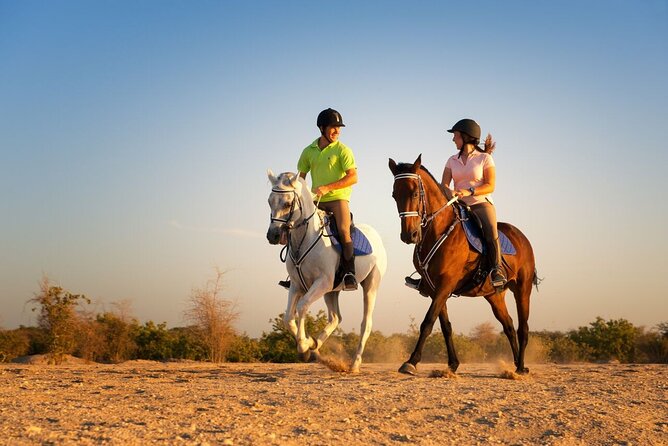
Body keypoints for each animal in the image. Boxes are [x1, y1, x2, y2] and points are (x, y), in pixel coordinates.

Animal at [266, 170, 387, 372]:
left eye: (288, 203)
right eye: (269, 201)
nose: (272, 236)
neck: (305, 238)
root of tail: (375, 235)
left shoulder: (322, 282)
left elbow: (302, 306)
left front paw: (303, 347)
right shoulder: (297, 285)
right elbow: (288, 316)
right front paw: (309, 343)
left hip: (370, 286)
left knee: (366, 324)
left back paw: (354, 364)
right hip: (332, 291)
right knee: (336, 318)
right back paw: (316, 346)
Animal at [388, 155, 538, 375]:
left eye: (415, 192)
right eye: (394, 195)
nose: (410, 235)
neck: (438, 230)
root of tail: (522, 237)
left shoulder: (446, 284)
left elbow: (428, 322)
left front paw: (411, 361)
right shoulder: (434, 288)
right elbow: (445, 326)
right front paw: (453, 364)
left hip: (522, 288)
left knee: (523, 327)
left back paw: (520, 367)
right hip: (494, 295)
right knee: (509, 326)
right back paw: (517, 364)